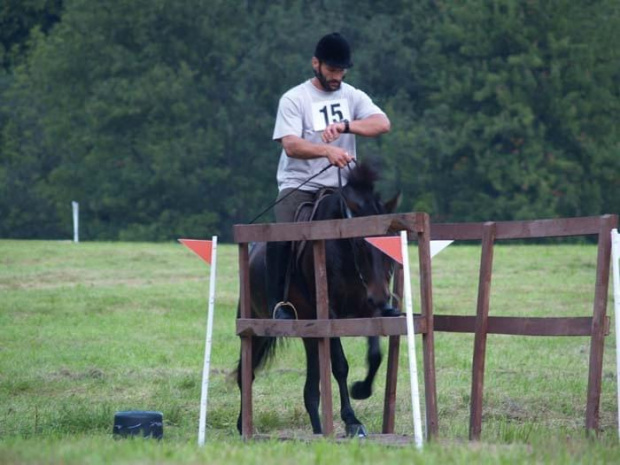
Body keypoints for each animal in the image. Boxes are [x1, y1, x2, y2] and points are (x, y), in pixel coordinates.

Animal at [235, 161, 400, 436]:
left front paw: (362, 389)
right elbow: (340, 365)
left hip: (309, 333)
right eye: (359, 243)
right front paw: (352, 421)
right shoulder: (330, 314)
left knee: (311, 388)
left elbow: (375, 355)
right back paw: (242, 425)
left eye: (390, 243)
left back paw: (318, 428)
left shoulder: (366, 309)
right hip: (257, 327)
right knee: (245, 373)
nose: (382, 298)